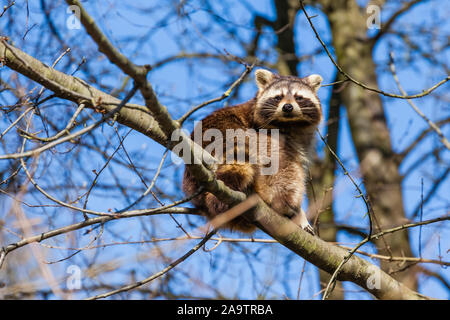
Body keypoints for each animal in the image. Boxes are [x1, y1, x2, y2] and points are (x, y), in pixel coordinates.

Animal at [183, 69, 324, 234]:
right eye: (278, 97)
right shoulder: (266, 130)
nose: (288, 107)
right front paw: (298, 212)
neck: (289, 124)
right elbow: (283, 163)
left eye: (298, 97)